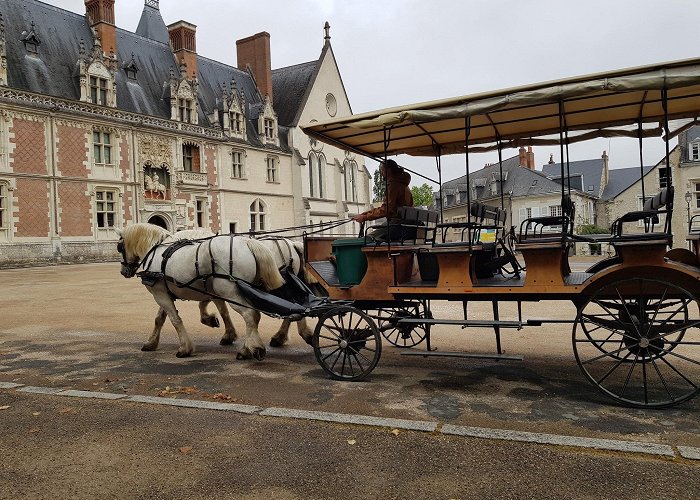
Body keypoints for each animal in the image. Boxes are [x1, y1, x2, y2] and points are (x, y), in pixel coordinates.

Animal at [117, 223, 284, 360]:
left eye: (120, 247)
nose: (123, 271)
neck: (155, 251)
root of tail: (247, 242)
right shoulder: (165, 292)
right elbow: (160, 319)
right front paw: (151, 343)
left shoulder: (160, 294)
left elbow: (175, 320)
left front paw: (185, 348)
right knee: (254, 316)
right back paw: (250, 347)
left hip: (229, 291)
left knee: (250, 315)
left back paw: (252, 348)